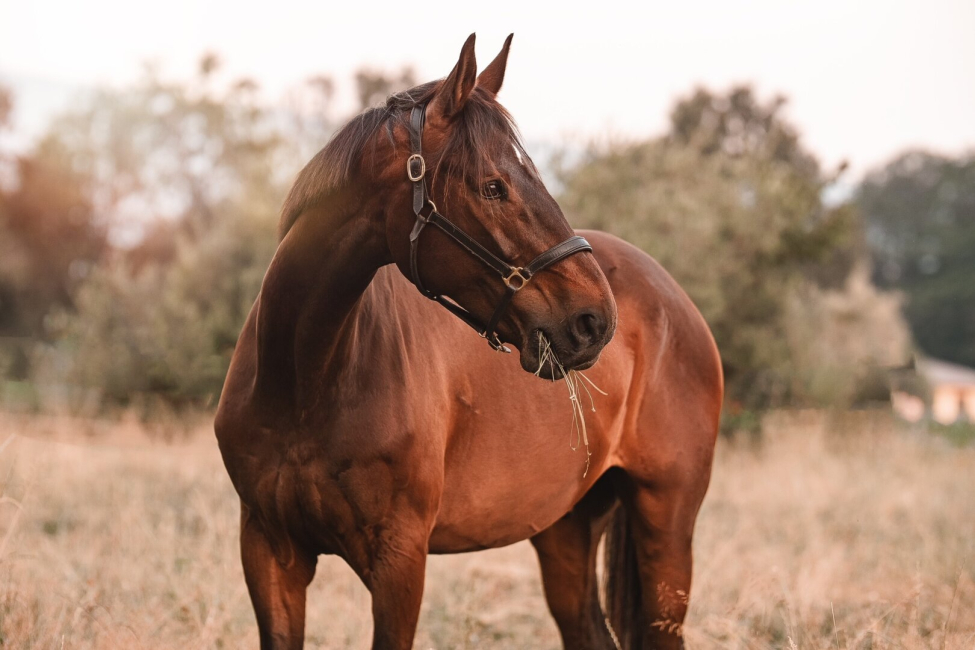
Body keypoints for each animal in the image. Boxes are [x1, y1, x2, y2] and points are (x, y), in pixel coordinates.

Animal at [215, 34, 724, 648]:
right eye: (493, 187)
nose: (595, 321)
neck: (306, 380)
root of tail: (677, 303)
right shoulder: (269, 551)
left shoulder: (400, 560)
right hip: (567, 528)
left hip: (665, 526)